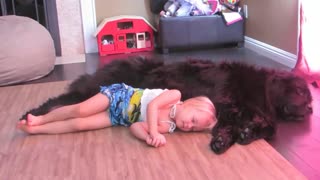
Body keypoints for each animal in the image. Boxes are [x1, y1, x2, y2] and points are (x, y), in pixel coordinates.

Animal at [20, 57, 312, 154]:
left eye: (310, 99)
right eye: (302, 93)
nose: (310, 110)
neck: (260, 86)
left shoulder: (234, 108)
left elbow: (263, 125)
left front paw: (235, 136)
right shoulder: (232, 101)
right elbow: (270, 126)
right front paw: (243, 132)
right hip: (92, 91)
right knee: (58, 102)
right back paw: (30, 114)